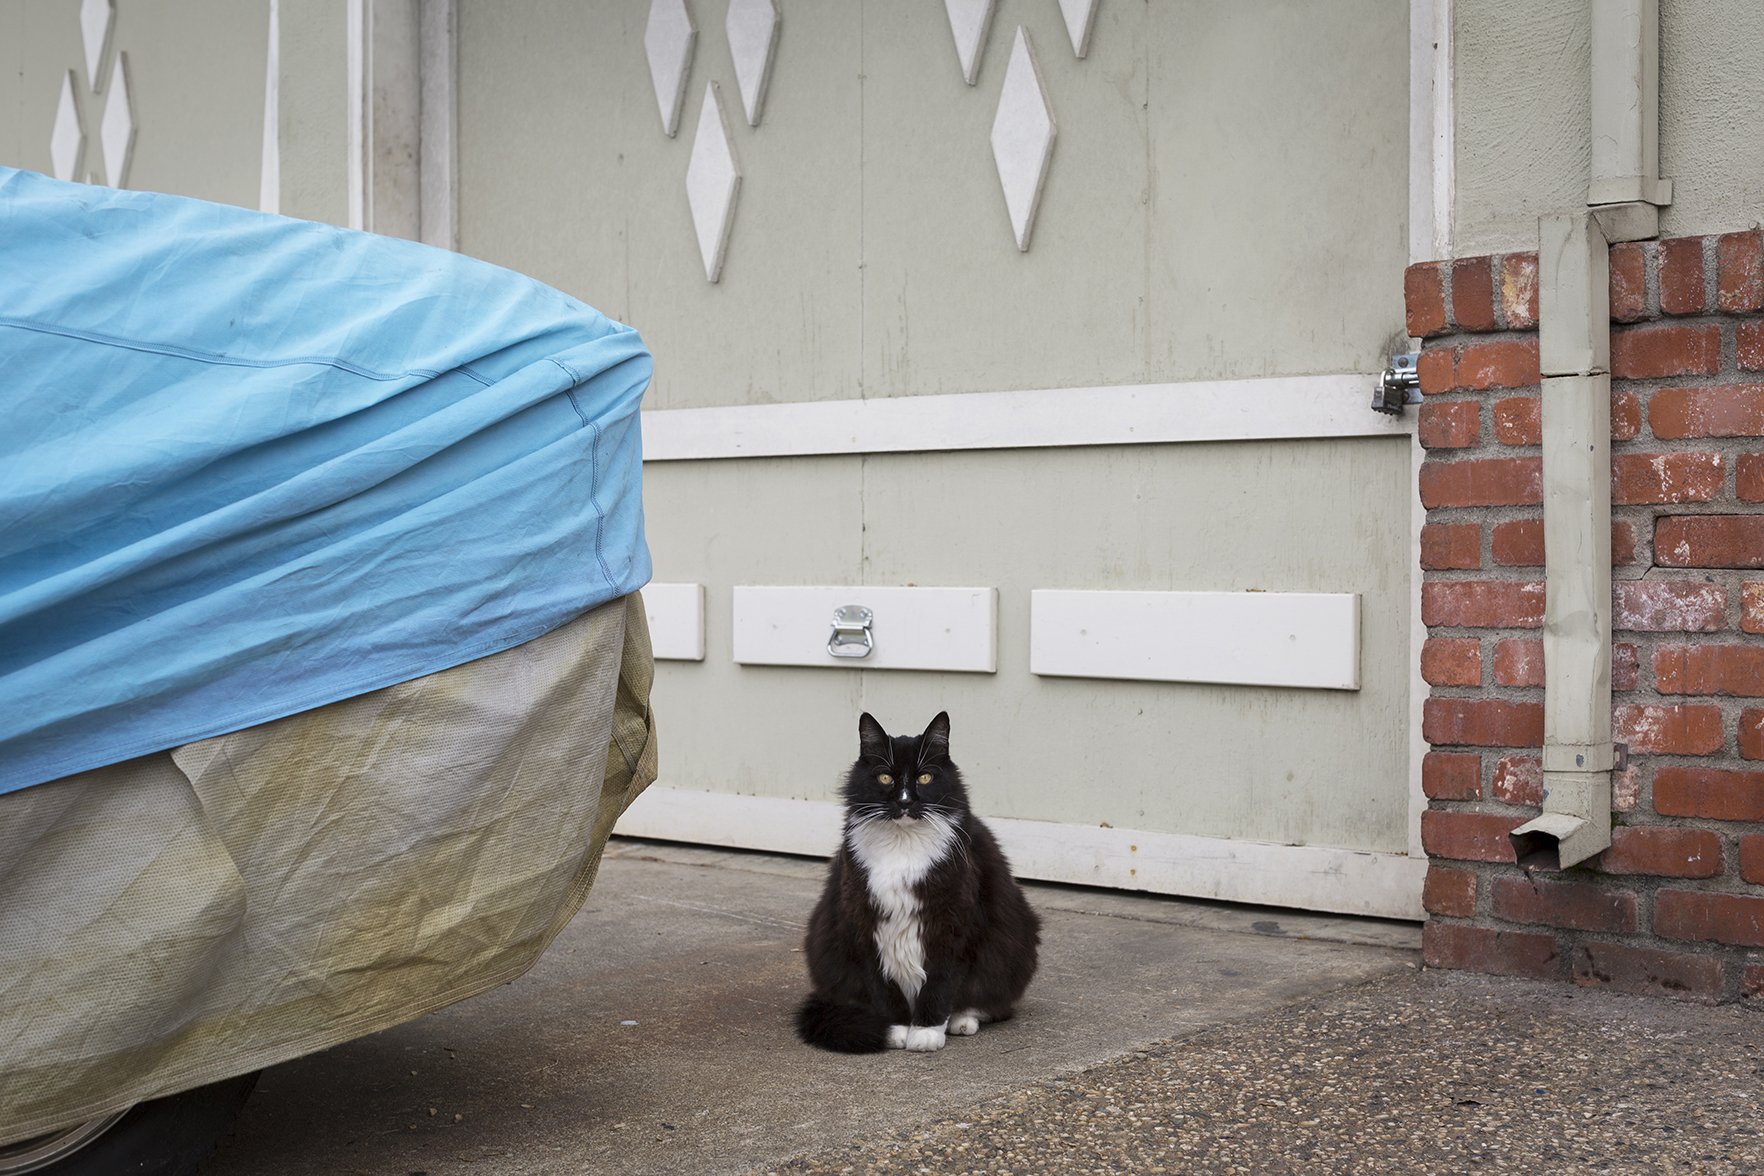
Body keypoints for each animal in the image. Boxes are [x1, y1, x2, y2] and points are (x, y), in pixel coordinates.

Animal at [797, 712, 1037, 1050]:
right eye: (885, 778)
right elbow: (883, 986)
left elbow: (940, 983)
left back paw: (961, 1020)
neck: (903, 845)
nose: (905, 802)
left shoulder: (952, 925)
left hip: (1010, 948)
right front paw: (896, 1029)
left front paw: (926, 1032)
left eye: (925, 778)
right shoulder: (864, 924)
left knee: (991, 1002)